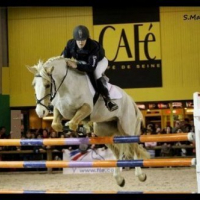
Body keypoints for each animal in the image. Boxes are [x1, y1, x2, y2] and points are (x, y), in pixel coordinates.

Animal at [27, 55, 151, 187]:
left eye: (47, 85)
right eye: (33, 85)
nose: (40, 112)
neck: (66, 87)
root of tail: (130, 100)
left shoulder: (86, 108)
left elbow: (73, 122)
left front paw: (80, 128)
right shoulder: (59, 109)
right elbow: (56, 124)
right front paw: (76, 128)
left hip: (127, 128)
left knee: (134, 148)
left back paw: (141, 176)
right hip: (104, 130)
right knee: (119, 150)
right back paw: (119, 179)